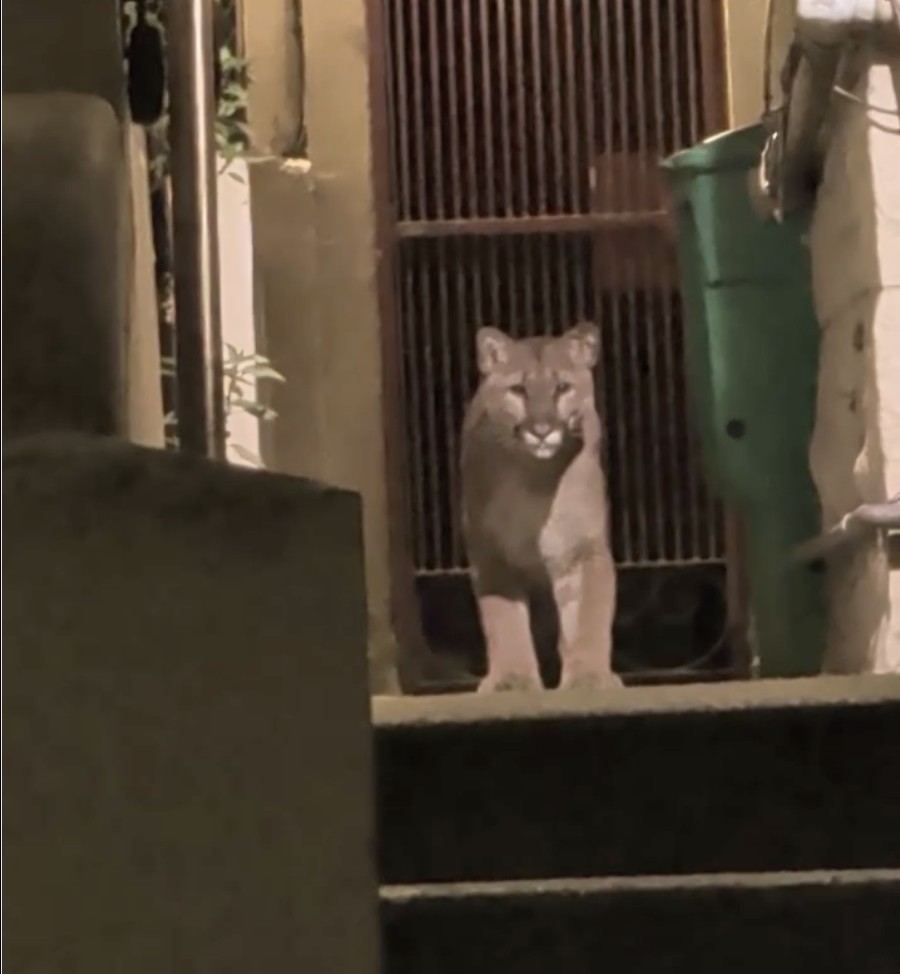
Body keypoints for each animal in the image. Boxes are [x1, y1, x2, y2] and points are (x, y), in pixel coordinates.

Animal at [460, 322, 621, 692]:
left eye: (562, 387)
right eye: (518, 389)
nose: (542, 429)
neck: (534, 479)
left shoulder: (583, 551)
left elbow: (589, 619)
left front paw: (589, 678)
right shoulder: (492, 558)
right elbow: (505, 622)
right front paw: (512, 680)